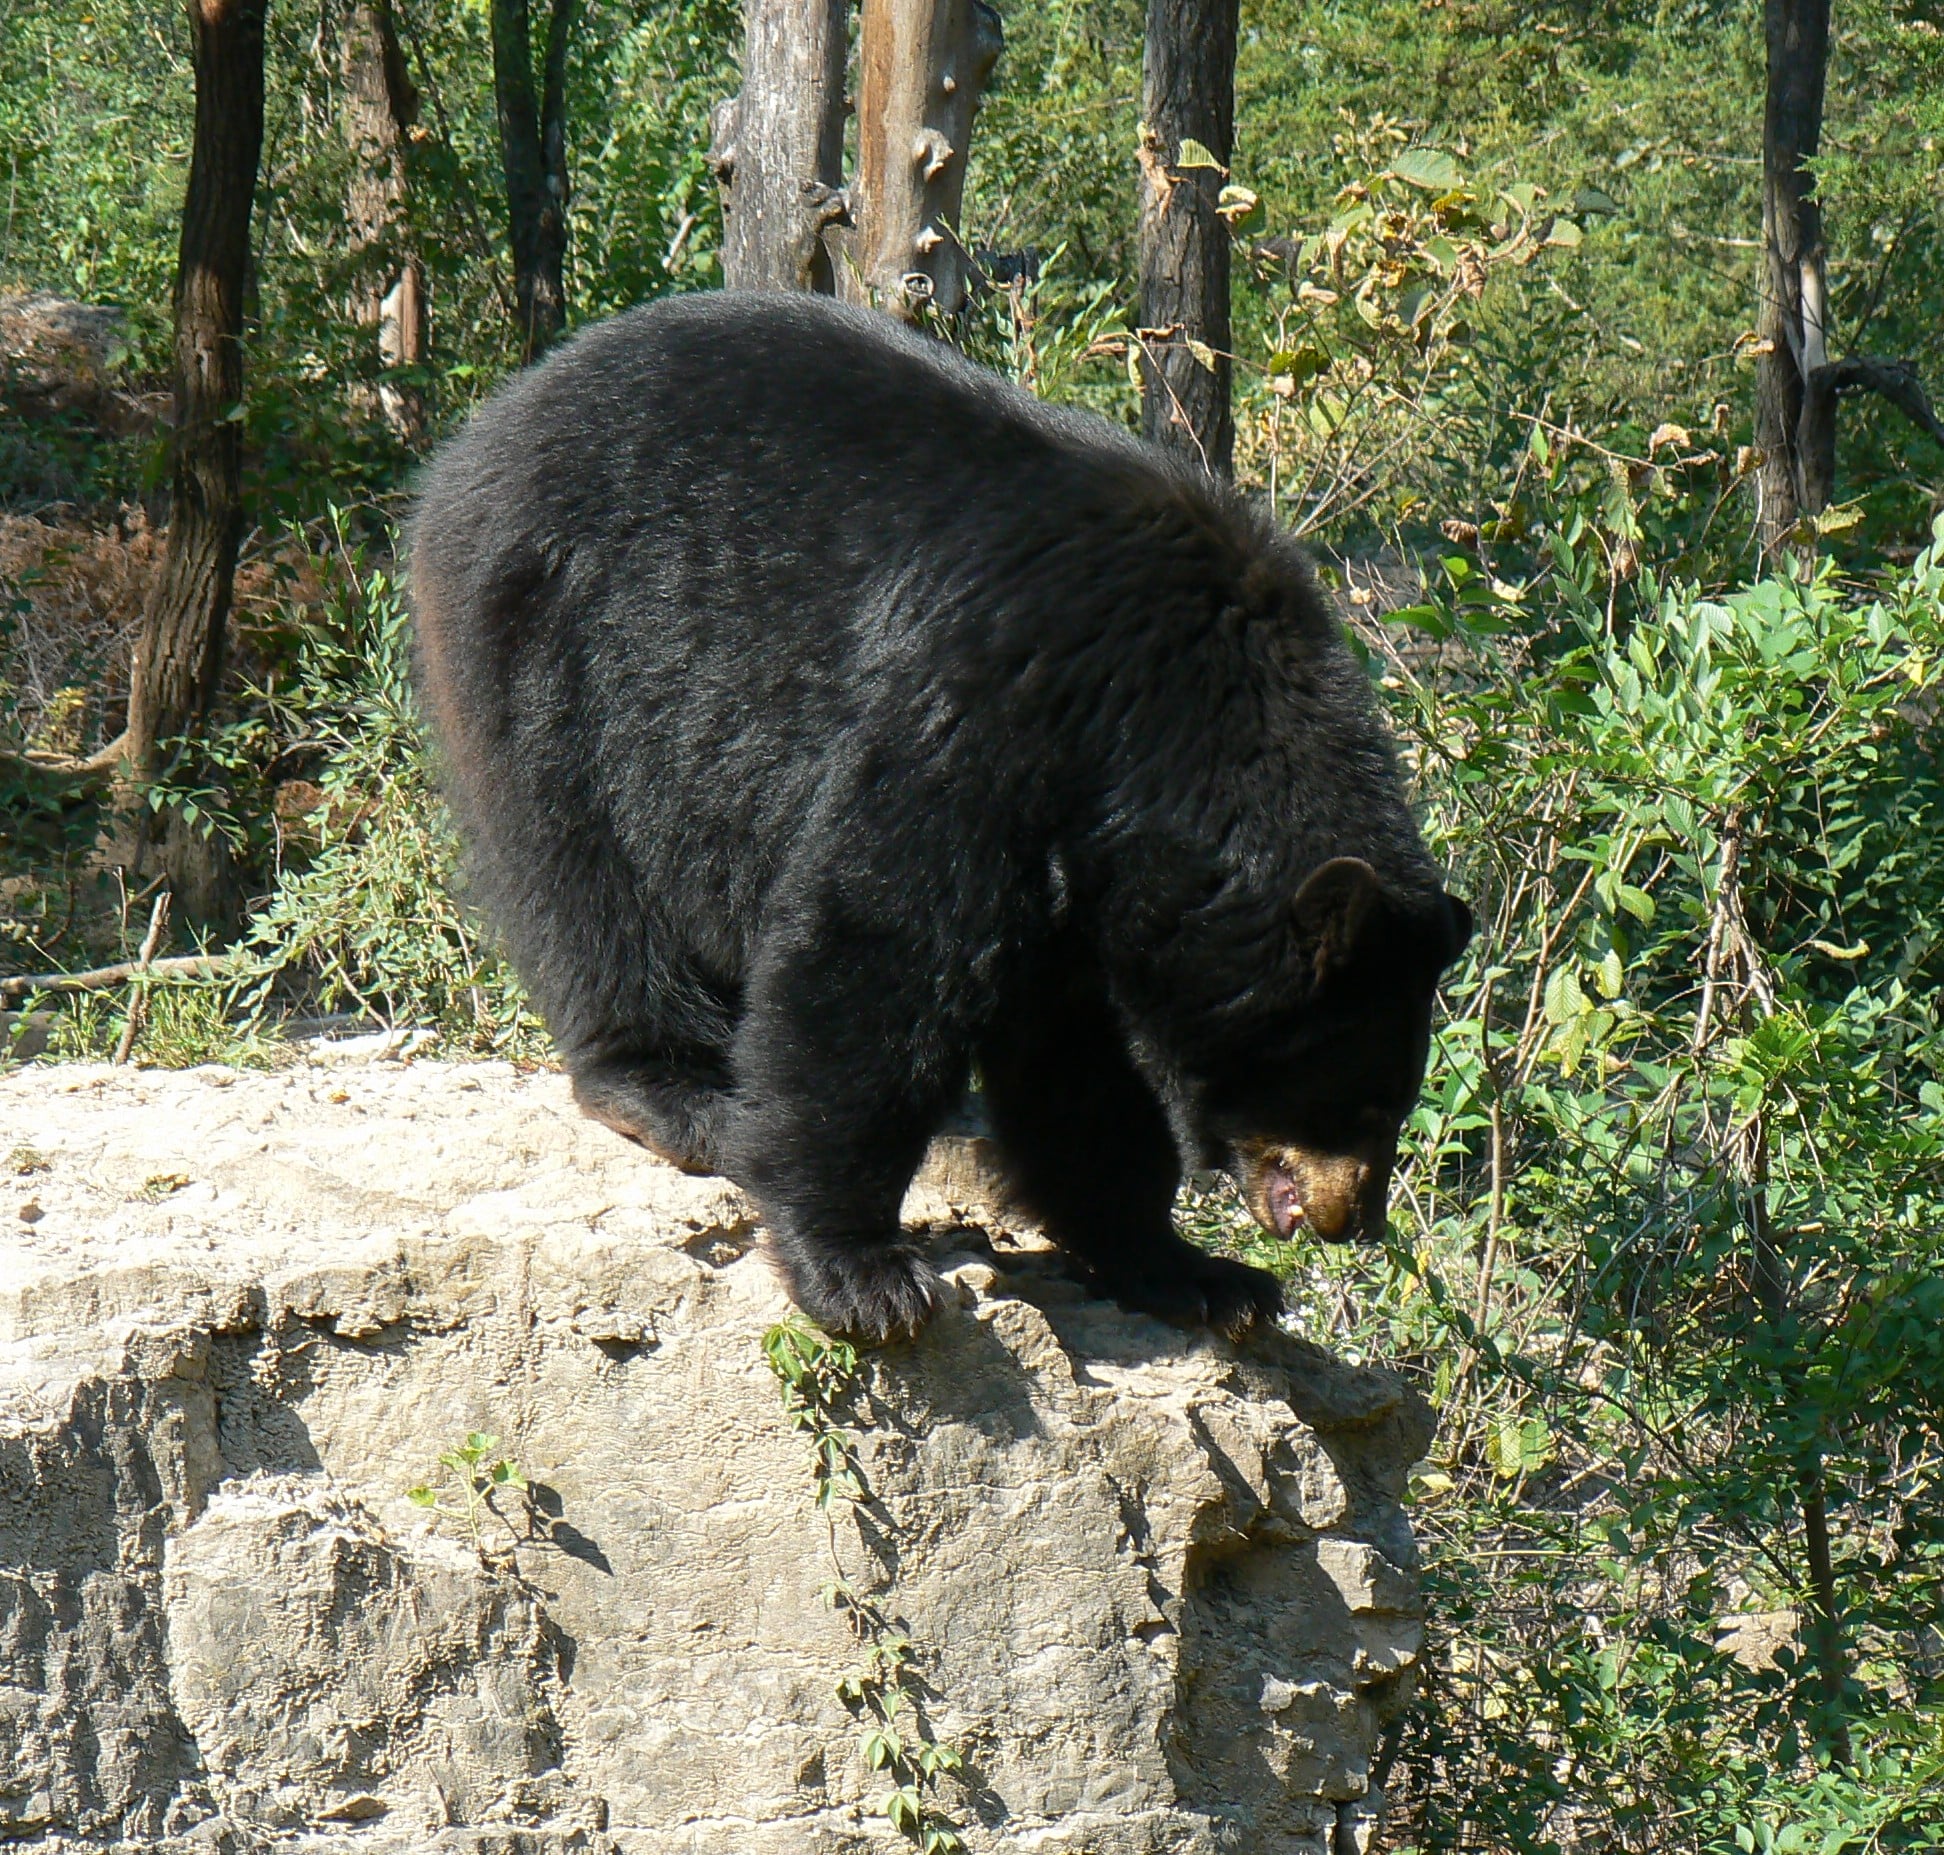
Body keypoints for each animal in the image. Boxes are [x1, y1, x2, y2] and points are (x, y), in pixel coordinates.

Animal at [409, 290, 1470, 1343]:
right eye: (1370, 1099)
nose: (1355, 1219)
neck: (1181, 718)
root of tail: (485, 428)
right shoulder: (990, 716)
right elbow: (877, 954)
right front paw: (861, 1269)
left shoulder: (1093, 872)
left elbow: (1078, 1066)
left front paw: (1194, 1271)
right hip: (557, 634)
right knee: (583, 877)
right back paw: (675, 1087)